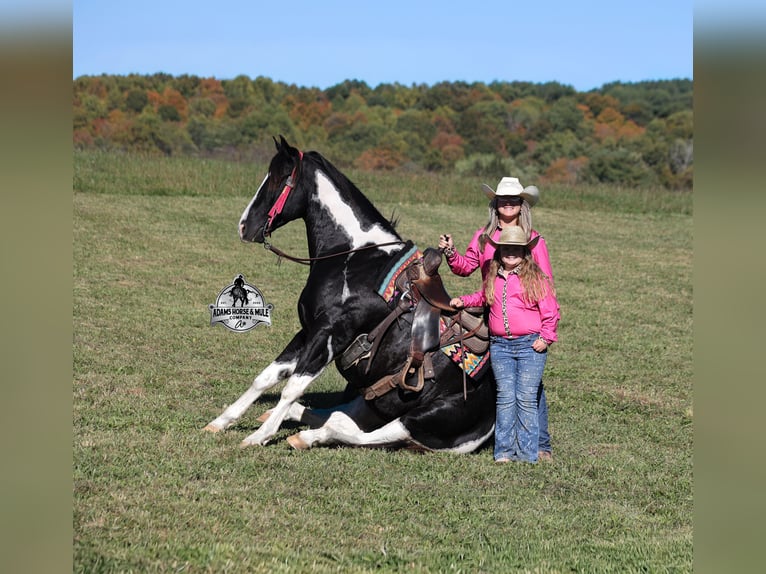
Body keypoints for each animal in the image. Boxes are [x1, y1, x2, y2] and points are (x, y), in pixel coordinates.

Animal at [203, 136, 496, 451]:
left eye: (279, 179)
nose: (244, 227)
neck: (354, 257)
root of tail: (493, 421)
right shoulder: (309, 331)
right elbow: (268, 377)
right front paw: (221, 422)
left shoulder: (331, 334)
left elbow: (292, 387)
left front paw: (259, 436)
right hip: (371, 403)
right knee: (339, 417)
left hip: (415, 421)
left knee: (355, 433)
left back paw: (304, 436)